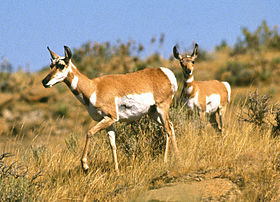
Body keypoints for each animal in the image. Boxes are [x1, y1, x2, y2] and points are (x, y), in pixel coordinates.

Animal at [42, 45, 179, 174]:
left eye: (61, 65)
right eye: (51, 65)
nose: (44, 81)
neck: (94, 88)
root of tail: (164, 72)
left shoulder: (111, 117)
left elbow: (89, 132)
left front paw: (85, 165)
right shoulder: (108, 121)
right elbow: (112, 144)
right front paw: (117, 170)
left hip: (162, 108)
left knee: (167, 130)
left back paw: (165, 160)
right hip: (153, 113)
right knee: (171, 126)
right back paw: (178, 156)